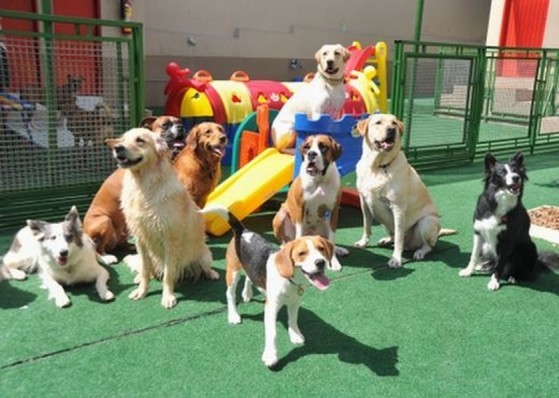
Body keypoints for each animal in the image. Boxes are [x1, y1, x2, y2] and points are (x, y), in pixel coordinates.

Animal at [106, 127, 220, 308]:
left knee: (204, 267)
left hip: (204, 254)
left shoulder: (170, 239)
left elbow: (168, 275)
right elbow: (145, 271)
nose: (118, 148)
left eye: (140, 140)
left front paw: (168, 297)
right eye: (122, 139)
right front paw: (141, 291)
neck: (143, 186)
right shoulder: (140, 239)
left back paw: (212, 273)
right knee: (146, 270)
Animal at [354, 113, 456, 268]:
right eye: (378, 122)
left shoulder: (398, 208)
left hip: (427, 222)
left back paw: (419, 252)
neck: (378, 166)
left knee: (428, 245)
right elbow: (367, 226)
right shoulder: (364, 203)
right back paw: (386, 240)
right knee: (394, 236)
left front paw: (396, 259)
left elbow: (398, 237)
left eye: (394, 123)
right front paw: (363, 242)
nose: (391, 130)